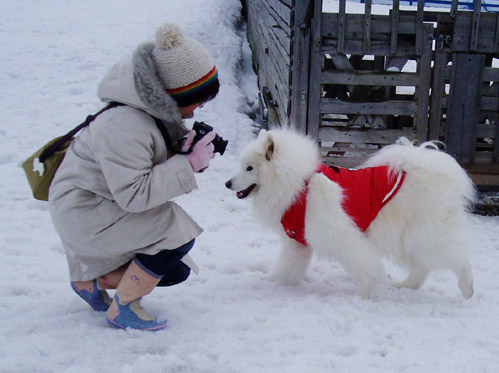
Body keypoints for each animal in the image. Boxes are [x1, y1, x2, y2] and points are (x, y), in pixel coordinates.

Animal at [227, 129, 476, 298]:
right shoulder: (297, 242)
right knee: (423, 266)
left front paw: (363, 295)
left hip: (426, 234)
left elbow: (359, 265)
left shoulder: (339, 236)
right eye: (241, 165)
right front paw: (274, 281)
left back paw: (467, 290)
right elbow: (286, 267)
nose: (228, 183)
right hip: (408, 238)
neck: (299, 185)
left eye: (250, 168)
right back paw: (406, 286)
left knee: (458, 258)